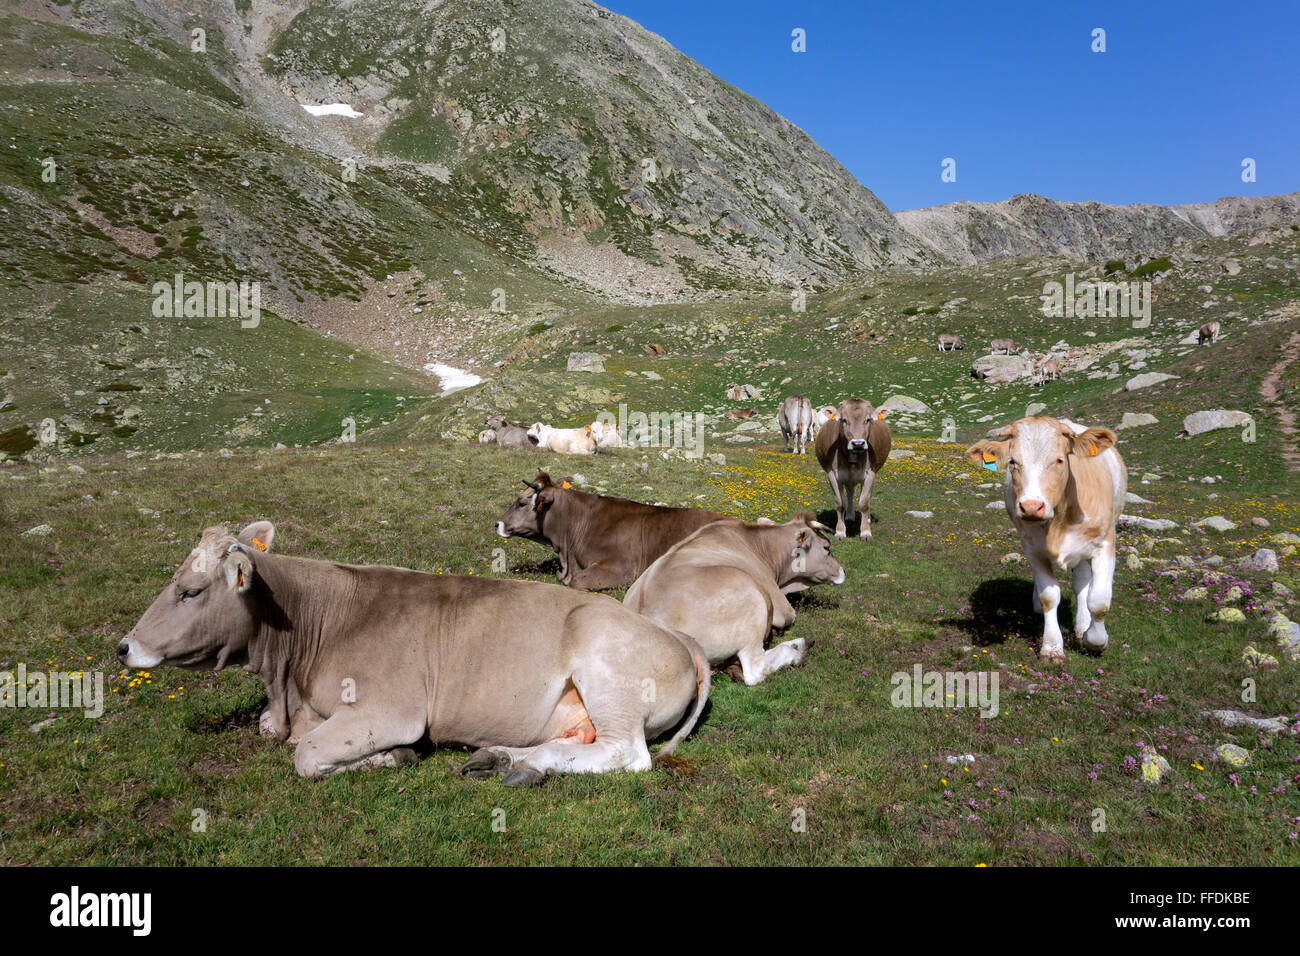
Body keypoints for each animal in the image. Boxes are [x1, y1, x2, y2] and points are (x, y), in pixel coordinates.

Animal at [119, 522, 712, 785]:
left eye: (189, 591)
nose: (125, 646)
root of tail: (680, 639)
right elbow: (272, 730)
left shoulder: (391, 709)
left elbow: (306, 755)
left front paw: (392, 757)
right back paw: (503, 757)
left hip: (606, 669)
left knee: (625, 754)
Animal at [626, 515, 842, 686]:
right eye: (827, 548)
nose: (842, 572)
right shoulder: (782, 608)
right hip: (752, 605)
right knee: (754, 671)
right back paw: (796, 651)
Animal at [811, 400, 894, 541]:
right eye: (844, 420)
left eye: (868, 419)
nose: (858, 443)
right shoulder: (832, 474)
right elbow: (840, 503)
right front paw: (840, 532)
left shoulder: (870, 473)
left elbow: (864, 502)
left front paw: (866, 532)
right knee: (850, 492)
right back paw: (849, 516)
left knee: (866, 495)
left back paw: (868, 519)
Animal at [967, 416, 1128, 671]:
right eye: (1013, 462)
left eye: (1059, 460)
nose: (1031, 506)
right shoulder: (1033, 549)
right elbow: (1049, 596)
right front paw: (1052, 648)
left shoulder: (1104, 544)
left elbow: (1099, 600)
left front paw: (1095, 640)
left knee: (1082, 582)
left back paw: (1082, 625)